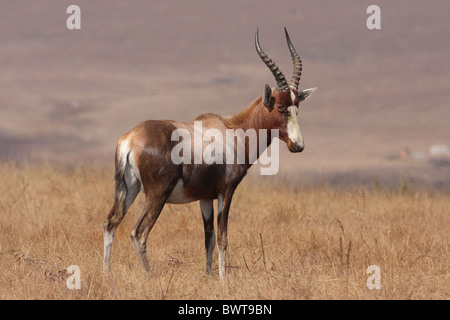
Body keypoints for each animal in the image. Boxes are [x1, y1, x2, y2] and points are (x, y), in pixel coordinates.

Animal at [104, 27, 318, 278]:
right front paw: (224, 280)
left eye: (297, 107)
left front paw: (208, 276)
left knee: (110, 223)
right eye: (281, 107)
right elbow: (223, 237)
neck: (232, 130)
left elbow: (209, 237)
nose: (298, 145)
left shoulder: (205, 197)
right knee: (139, 233)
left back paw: (106, 274)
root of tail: (131, 139)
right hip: (157, 194)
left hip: (129, 189)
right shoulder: (226, 191)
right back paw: (149, 276)